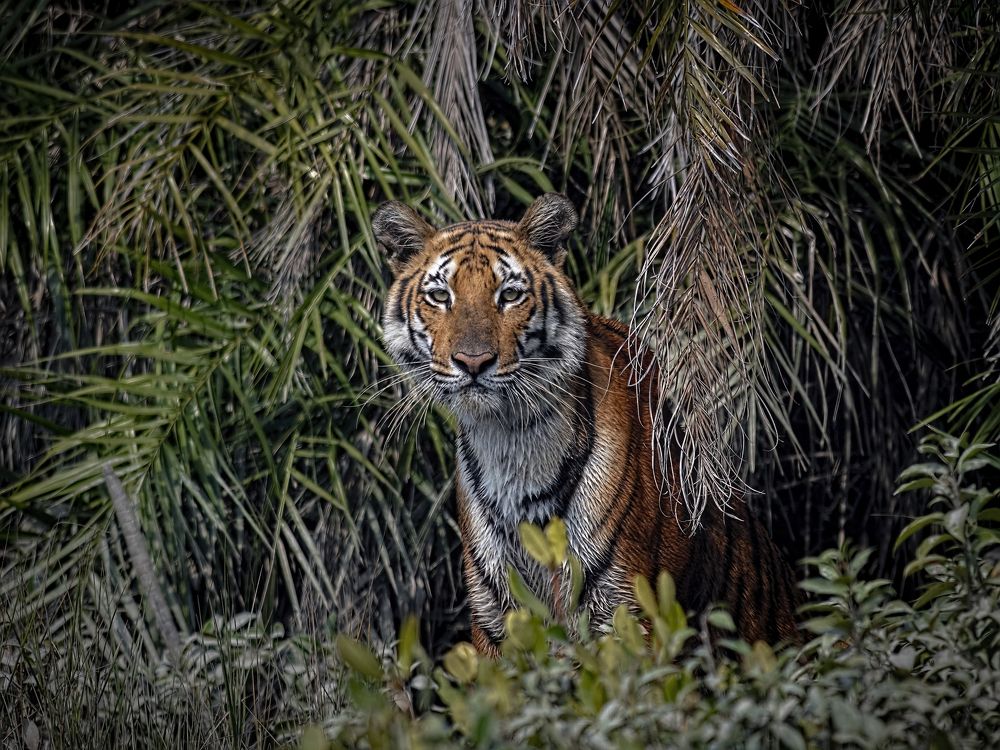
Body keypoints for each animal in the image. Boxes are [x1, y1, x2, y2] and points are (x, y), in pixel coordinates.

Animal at [374, 193, 799, 656]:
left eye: (509, 295)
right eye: (439, 296)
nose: (473, 362)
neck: (510, 442)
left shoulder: (626, 613)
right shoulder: (495, 620)